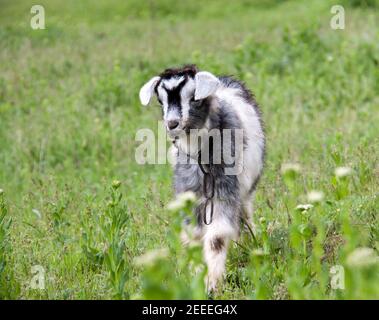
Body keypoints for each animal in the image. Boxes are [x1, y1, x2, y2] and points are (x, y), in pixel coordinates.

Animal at [138, 63, 266, 292]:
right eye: (161, 100)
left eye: (194, 98)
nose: (172, 123)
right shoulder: (190, 196)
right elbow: (194, 237)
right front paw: (197, 276)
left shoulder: (224, 191)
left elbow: (217, 237)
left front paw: (212, 283)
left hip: (244, 190)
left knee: (244, 214)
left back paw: (248, 242)